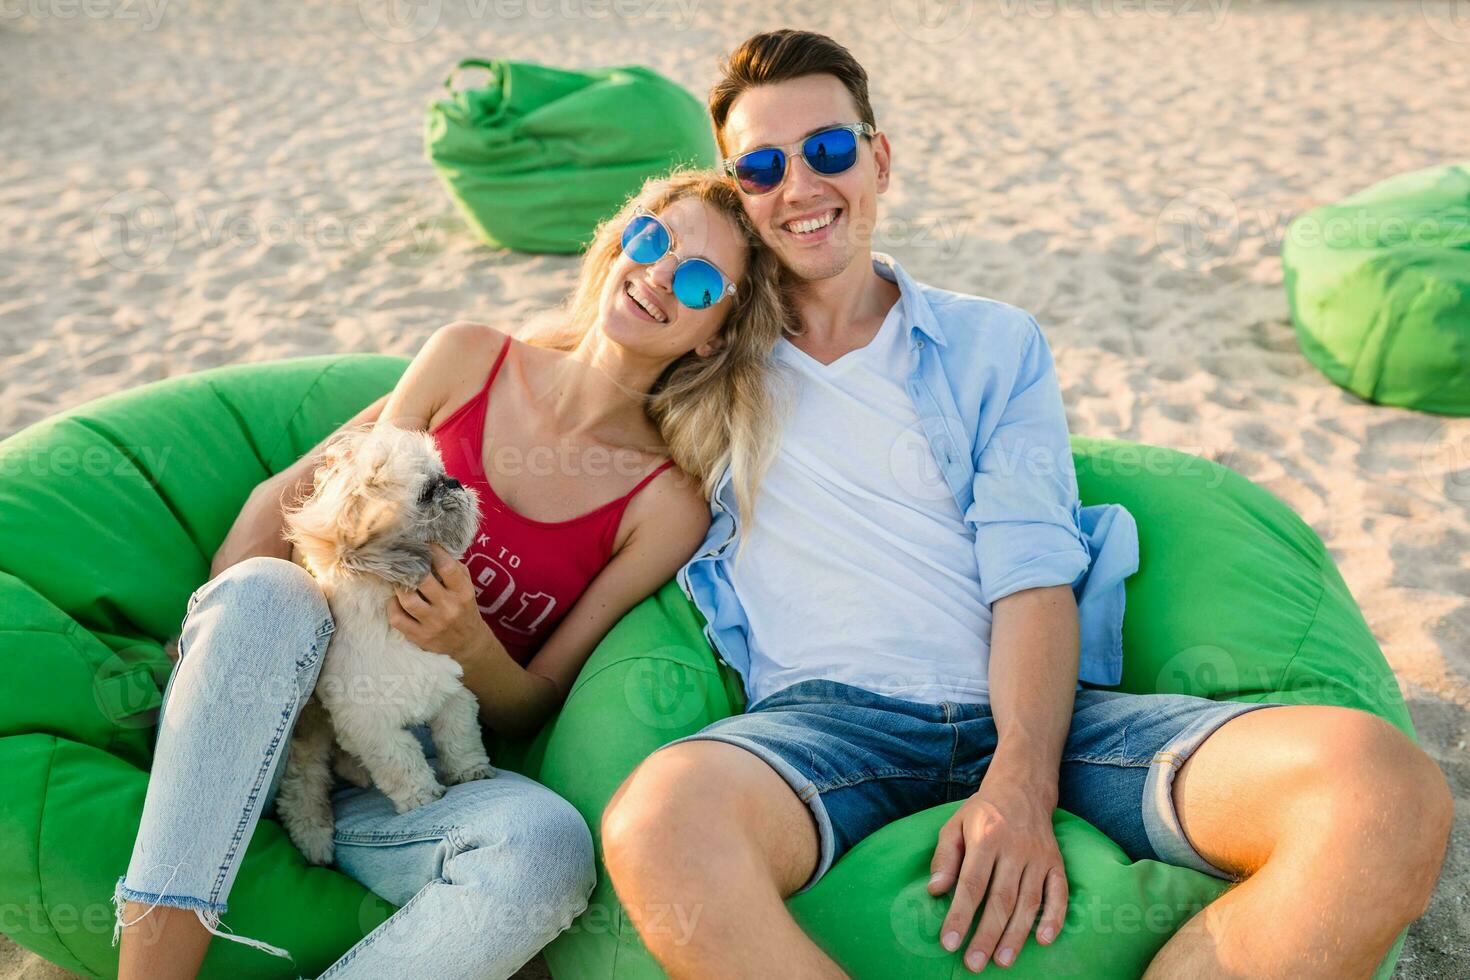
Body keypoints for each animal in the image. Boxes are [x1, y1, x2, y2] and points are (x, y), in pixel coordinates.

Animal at [270, 423, 488, 863]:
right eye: (426, 492)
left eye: (442, 472)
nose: (453, 482)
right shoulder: (370, 725)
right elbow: (400, 761)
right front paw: (422, 797)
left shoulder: (451, 690)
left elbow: (459, 734)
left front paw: (469, 770)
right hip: (310, 730)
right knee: (302, 781)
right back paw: (313, 833)